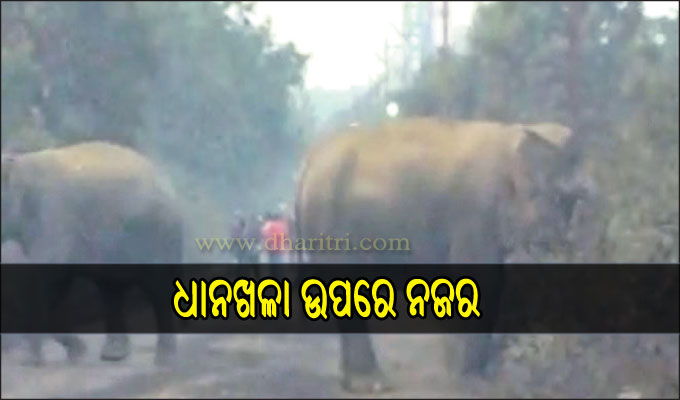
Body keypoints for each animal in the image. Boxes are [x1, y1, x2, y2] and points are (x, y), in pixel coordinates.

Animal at [1, 141, 184, 366]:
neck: (19, 162)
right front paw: (77, 352)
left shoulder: (54, 214)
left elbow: (47, 277)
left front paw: (30, 360)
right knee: (110, 289)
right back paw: (114, 354)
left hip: (158, 232)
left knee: (157, 287)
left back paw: (165, 359)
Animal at [293, 117, 600, 392]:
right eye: (564, 197)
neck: (515, 133)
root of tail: (308, 164)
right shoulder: (475, 215)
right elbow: (479, 278)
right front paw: (472, 379)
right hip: (332, 226)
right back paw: (372, 385)